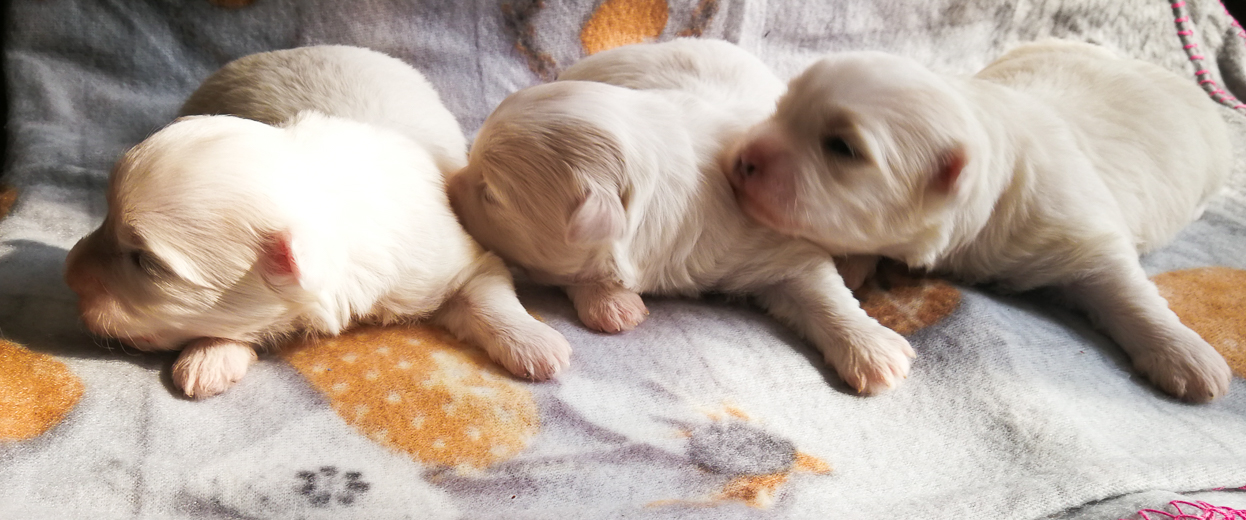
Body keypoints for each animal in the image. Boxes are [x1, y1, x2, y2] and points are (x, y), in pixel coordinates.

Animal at [63, 46, 570, 399]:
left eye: (146, 263)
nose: (67, 273)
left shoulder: (457, 259)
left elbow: (489, 296)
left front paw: (537, 343)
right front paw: (210, 356)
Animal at [451, 39, 917, 394]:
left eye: (490, 193)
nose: (450, 185)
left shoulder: (780, 245)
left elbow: (823, 291)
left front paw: (872, 349)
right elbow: (573, 268)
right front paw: (610, 302)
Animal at [727, 39, 1236, 401]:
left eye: (842, 147)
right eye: (781, 107)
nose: (740, 159)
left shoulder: (1084, 229)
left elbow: (1130, 292)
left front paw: (1186, 355)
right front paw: (851, 266)